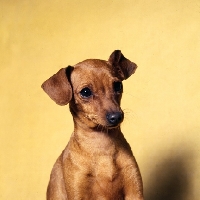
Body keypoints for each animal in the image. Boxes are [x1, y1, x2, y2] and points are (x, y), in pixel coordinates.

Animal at [41, 50, 143, 200]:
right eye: (85, 92)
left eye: (118, 85)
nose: (116, 117)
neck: (102, 145)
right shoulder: (78, 194)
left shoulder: (134, 192)